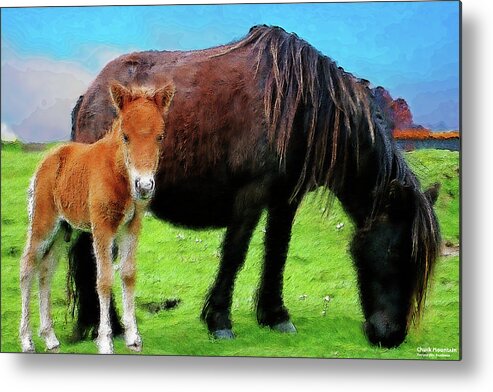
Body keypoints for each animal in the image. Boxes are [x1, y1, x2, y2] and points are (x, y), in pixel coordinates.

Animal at [19, 81, 175, 354]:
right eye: (125, 135)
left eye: (160, 136)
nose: (144, 186)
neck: (117, 173)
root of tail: (46, 161)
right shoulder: (102, 227)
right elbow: (103, 279)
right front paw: (105, 341)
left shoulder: (132, 226)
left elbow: (128, 274)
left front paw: (133, 338)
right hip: (43, 223)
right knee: (27, 267)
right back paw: (27, 340)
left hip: (64, 230)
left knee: (46, 271)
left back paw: (50, 338)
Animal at [68, 26, 438, 348]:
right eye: (396, 252)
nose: (391, 336)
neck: (298, 107)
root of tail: (90, 95)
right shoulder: (250, 195)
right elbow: (235, 253)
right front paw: (219, 321)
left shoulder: (286, 199)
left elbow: (277, 251)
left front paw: (276, 316)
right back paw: (111, 327)